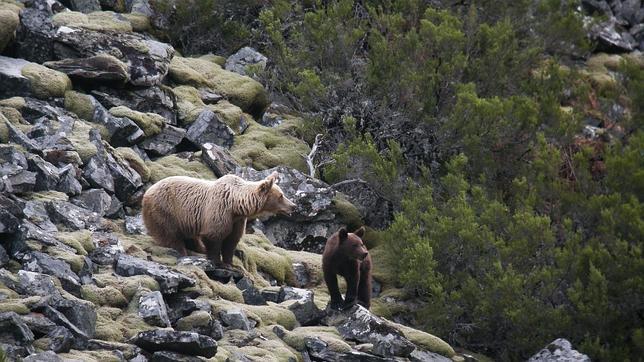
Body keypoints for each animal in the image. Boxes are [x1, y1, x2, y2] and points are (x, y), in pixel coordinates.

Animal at [142, 171, 296, 268]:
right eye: (281, 196)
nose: (293, 206)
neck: (236, 205)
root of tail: (147, 192)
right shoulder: (219, 210)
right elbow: (214, 236)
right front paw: (217, 261)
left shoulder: (237, 221)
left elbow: (231, 240)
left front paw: (230, 263)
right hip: (166, 210)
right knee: (170, 235)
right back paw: (182, 251)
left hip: (185, 220)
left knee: (190, 237)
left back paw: (198, 249)